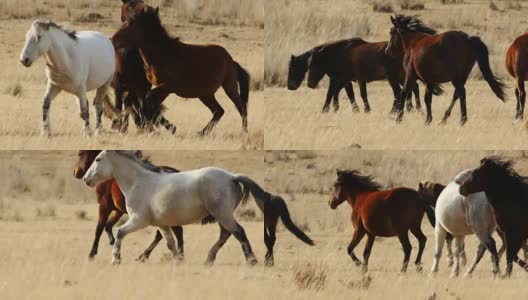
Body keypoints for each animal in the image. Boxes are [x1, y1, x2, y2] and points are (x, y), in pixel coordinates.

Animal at [82, 150, 262, 264]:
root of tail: (232, 177)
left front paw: (116, 259)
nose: (85, 179)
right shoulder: (162, 224)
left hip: (222, 213)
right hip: (221, 215)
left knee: (238, 232)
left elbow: (119, 232)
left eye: (97, 159)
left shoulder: (139, 220)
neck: (137, 182)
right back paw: (209, 259)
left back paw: (251, 260)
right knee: (226, 234)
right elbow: (170, 243)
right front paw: (178, 261)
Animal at [114, 3, 250, 135]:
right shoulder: (149, 87)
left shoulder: (167, 87)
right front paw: (152, 126)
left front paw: (161, 127)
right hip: (205, 94)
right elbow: (142, 103)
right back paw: (201, 133)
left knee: (241, 107)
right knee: (218, 111)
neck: (163, 54)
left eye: (132, 24)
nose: (113, 40)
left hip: (229, 87)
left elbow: (148, 102)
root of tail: (231, 61)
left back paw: (243, 132)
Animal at [290, 36, 426, 113]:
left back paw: (395, 111)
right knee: (411, 89)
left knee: (399, 93)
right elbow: (357, 95)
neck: (339, 54)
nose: (310, 84)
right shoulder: (353, 80)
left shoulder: (338, 79)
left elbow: (331, 93)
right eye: (308, 66)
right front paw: (363, 110)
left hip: (393, 79)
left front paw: (325, 110)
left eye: (313, 65)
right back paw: (413, 108)